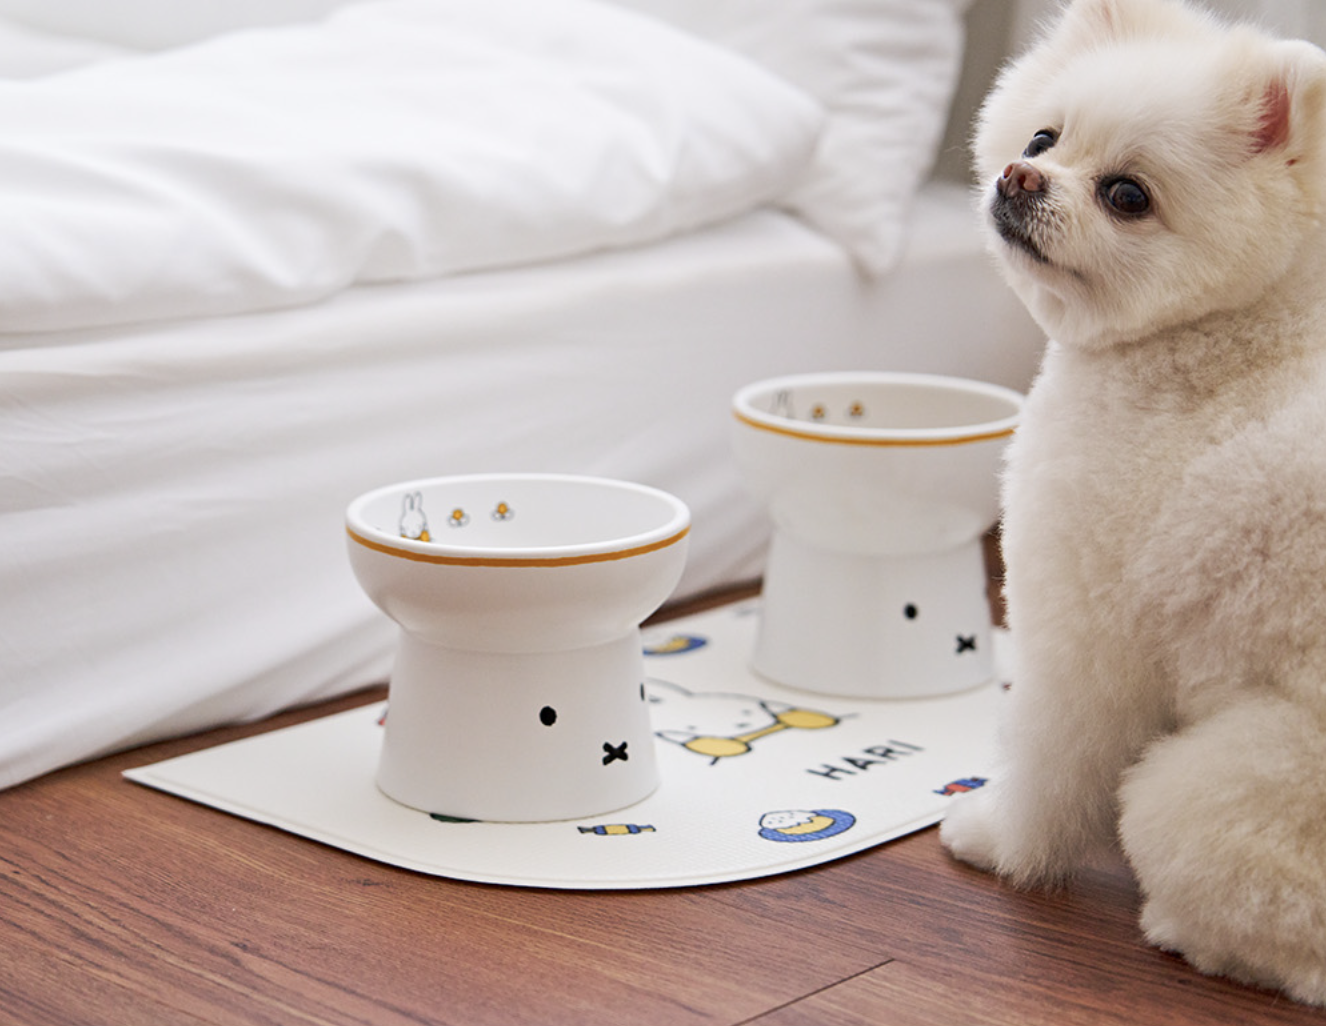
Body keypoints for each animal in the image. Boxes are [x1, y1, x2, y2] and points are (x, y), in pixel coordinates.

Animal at [944, 0, 1326, 1007]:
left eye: (1127, 195)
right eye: (1044, 137)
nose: (1018, 175)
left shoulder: (1086, 629)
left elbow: (1049, 765)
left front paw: (996, 839)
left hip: (1212, 783)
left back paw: (1188, 933)